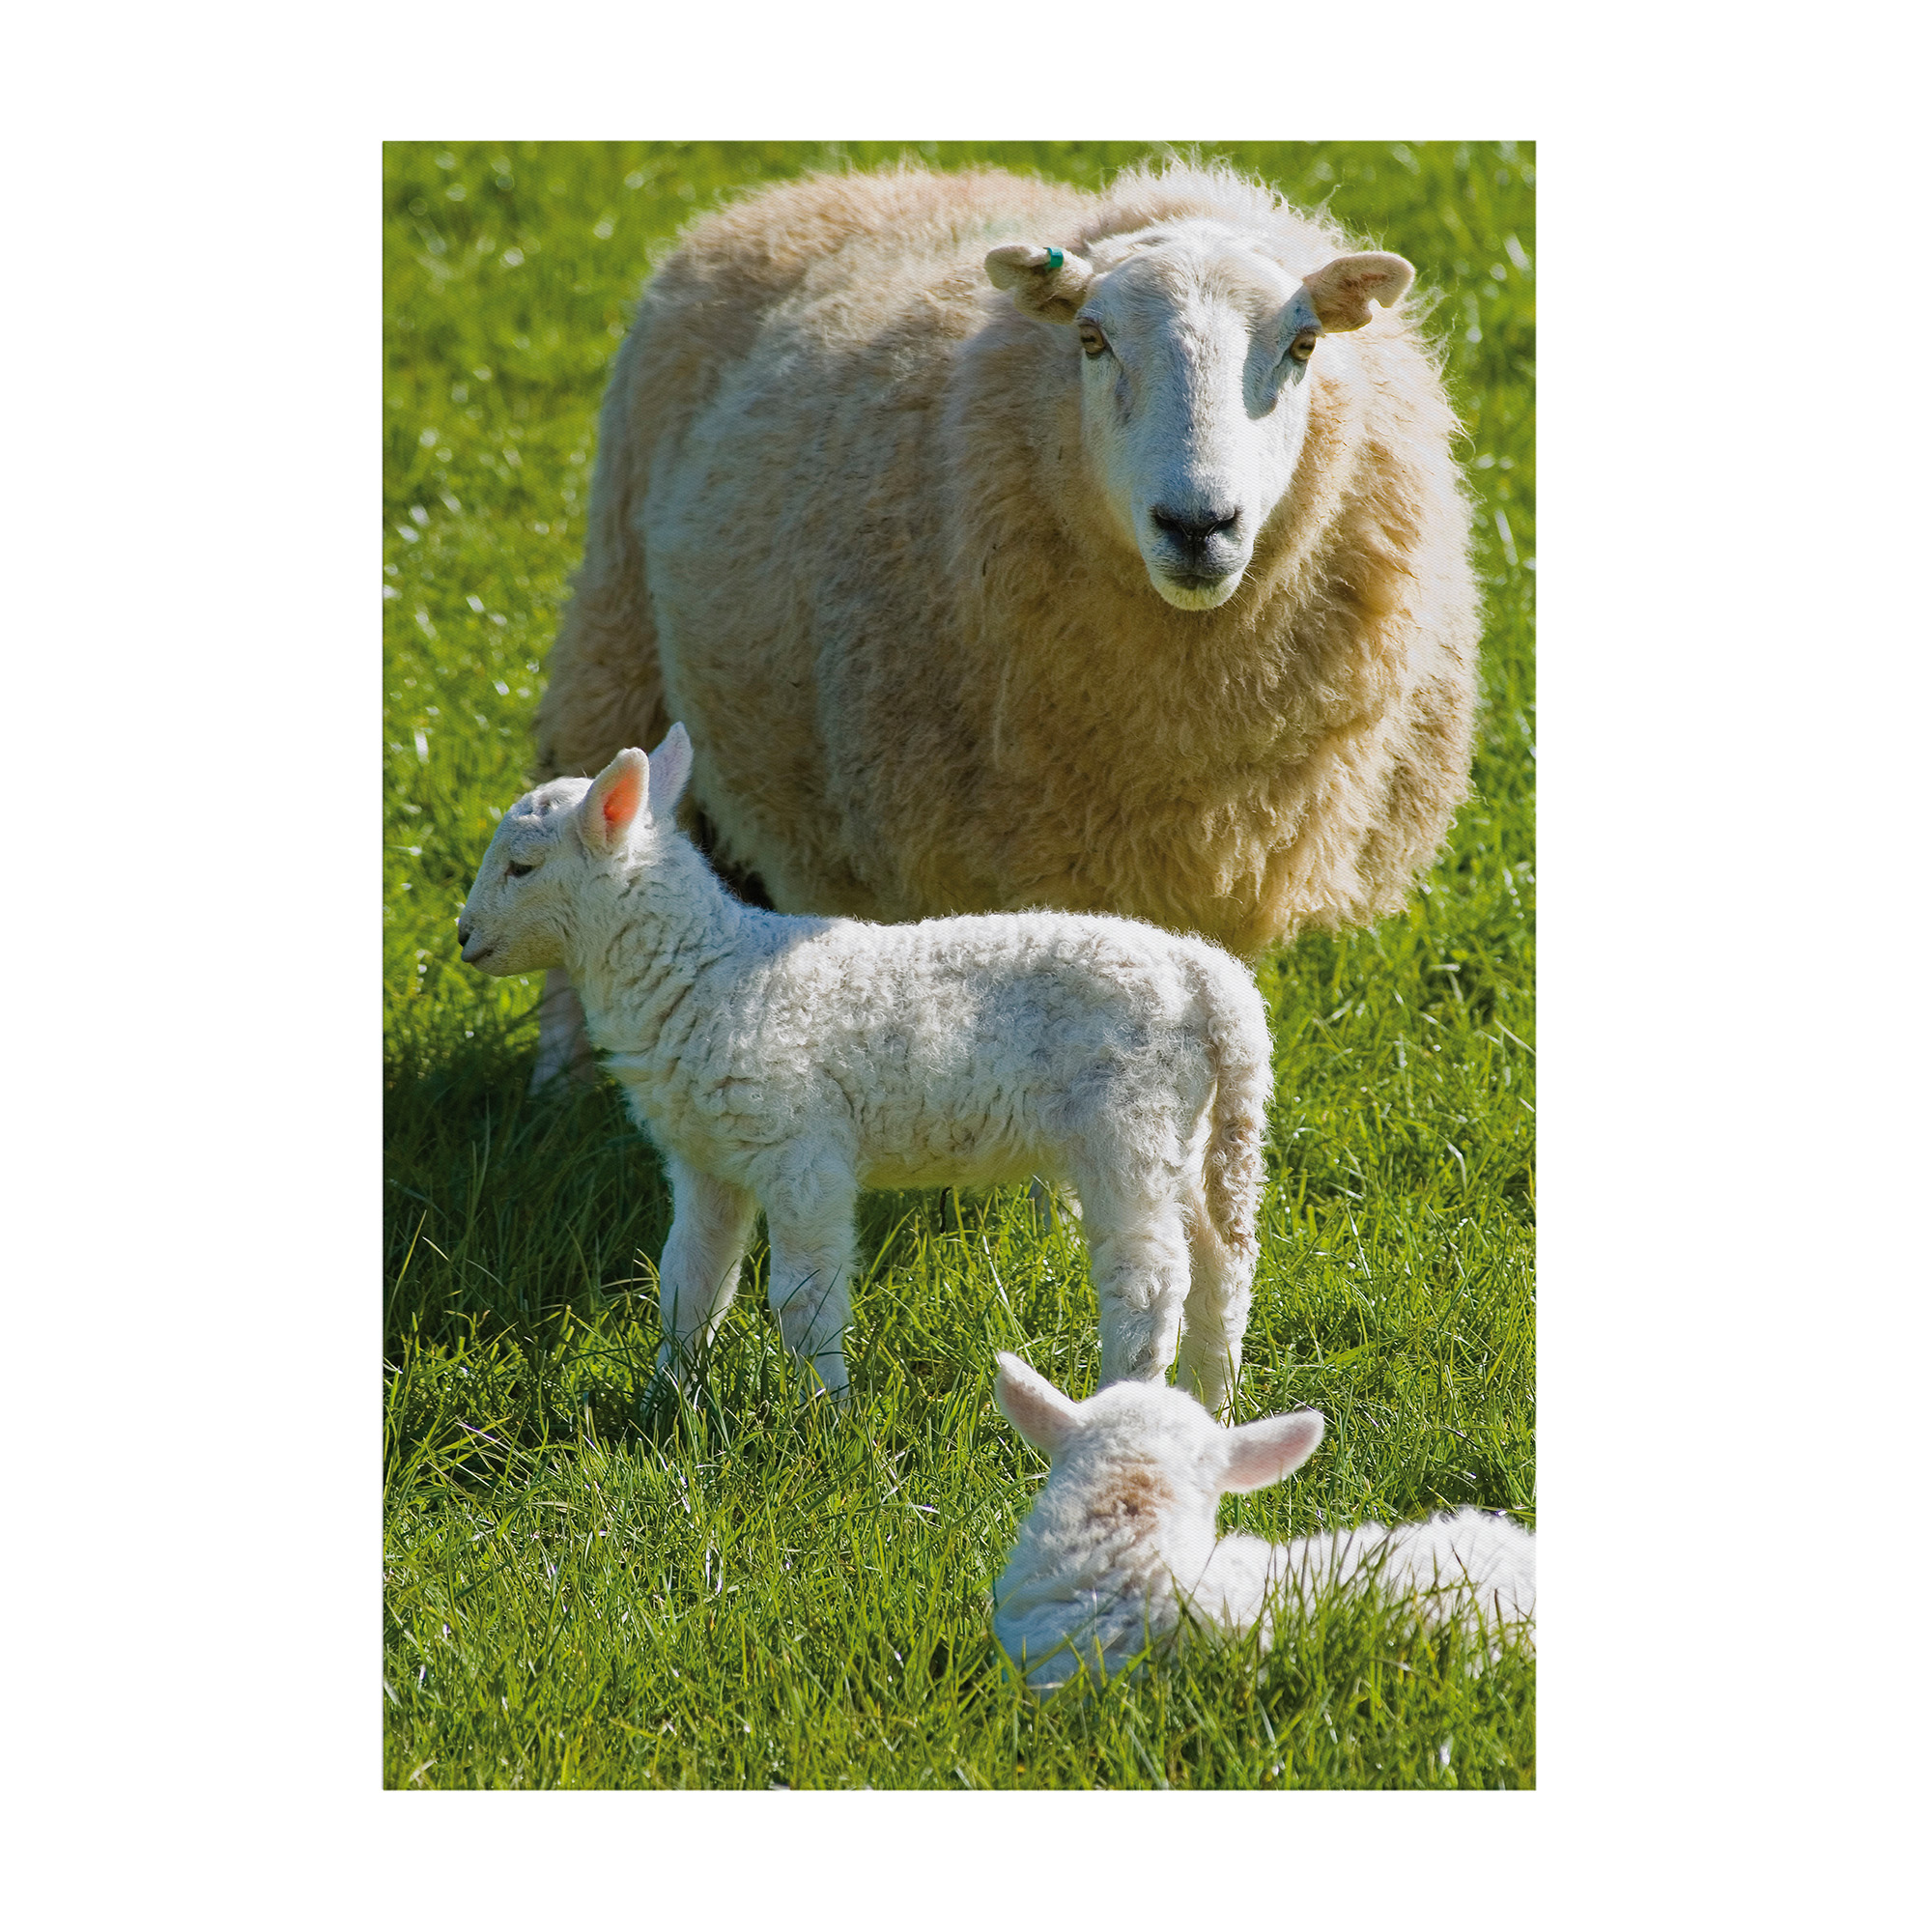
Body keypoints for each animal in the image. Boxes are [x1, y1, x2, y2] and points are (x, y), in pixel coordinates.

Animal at [456, 727, 1276, 1413]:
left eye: (521, 868)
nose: (463, 938)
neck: (702, 968)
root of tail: (1215, 985)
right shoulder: (706, 1158)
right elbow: (689, 1284)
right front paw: (669, 1402)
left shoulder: (802, 1149)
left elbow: (803, 1298)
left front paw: (829, 1418)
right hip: (1191, 1132)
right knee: (1223, 1268)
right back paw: (1211, 1403)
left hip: (1127, 1122)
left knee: (1147, 1282)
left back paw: (1122, 1407)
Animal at [525, 158, 1478, 1092]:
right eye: (1091, 340)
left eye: (1304, 345)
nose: (1198, 526)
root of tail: (827, 184)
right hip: (618, 625)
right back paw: (562, 1075)